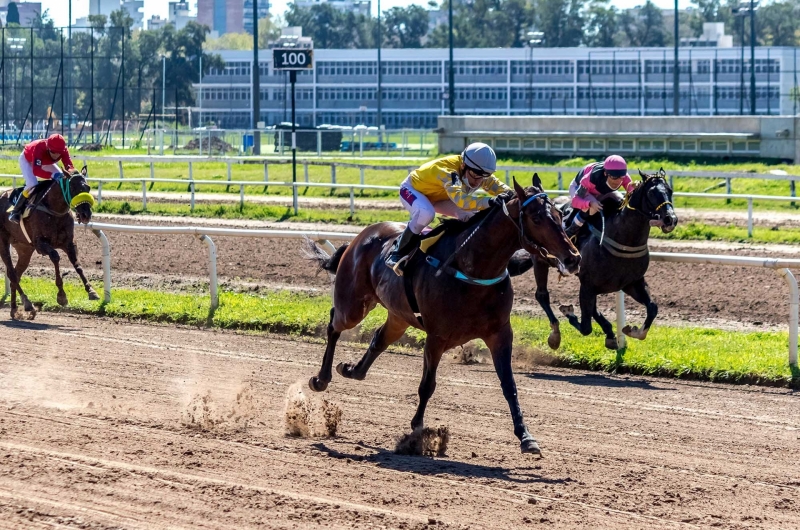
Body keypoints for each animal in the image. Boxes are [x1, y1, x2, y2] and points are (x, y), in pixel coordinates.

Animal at [0, 167, 98, 320]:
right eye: (72, 187)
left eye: (88, 187)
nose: (86, 214)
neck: (54, 210)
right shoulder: (40, 244)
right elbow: (56, 257)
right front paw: (61, 296)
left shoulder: (69, 243)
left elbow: (77, 264)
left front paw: (91, 291)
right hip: (3, 242)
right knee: (12, 274)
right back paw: (28, 304)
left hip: (24, 249)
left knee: (16, 274)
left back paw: (15, 310)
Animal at [304, 174, 580, 454]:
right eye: (536, 218)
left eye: (559, 214)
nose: (573, 258)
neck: (472, 269)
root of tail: (361, 237)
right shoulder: (437, 336)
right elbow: (428, 385)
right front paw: (417, 431)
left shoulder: (500, 333)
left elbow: (509, 386)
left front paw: (526, 437)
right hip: (354, 305)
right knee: (334, 324)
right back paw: (321, 379)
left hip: (399, 316)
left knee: (379, 339)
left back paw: (351, 369)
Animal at [512, 167, 676, 348]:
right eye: (652, 193)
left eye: (670, 191)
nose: (671, 219)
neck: (623, 240)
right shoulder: (587, 285)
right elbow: (586, 327)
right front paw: (569, 312)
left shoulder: (631, 283)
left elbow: (652, 308)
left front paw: (631, 330)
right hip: (540, 261)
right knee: (542, 295)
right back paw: (556, 334)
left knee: (593, 309)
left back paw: (609, 332)